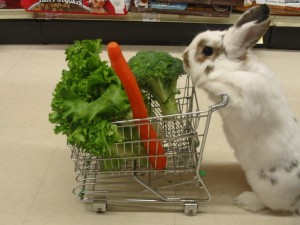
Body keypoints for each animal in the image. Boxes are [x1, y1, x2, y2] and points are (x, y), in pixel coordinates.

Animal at [183, 3, 300, 214]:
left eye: (207, 50)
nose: (183, 57)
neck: (235, 69)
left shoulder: (242, 101)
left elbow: (219, 85)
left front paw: (205, 81)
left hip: (266, 186)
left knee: (270, 204)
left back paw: (244, 200)